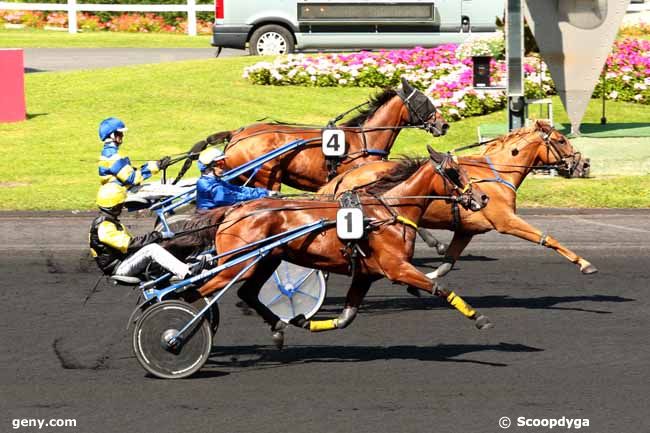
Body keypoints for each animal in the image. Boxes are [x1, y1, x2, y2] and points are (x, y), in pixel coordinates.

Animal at [192, 147, 486, 346]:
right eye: (454, 172)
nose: (482, 197)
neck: (387, 212)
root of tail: (232, 212)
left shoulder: (366, 274)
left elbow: (347, 316)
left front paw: (303, 321)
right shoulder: (397, 268)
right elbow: (439, 288)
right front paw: (478, 317)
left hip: (265, 260)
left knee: (247, 293)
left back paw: (277, 327)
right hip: (237, 264)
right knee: (195, 292)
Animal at [316, 120, 596, 278]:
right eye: (561, 140)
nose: (584, 164)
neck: (495, 173)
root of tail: (345, 177)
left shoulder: (466, 230)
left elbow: (446, 264)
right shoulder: (506, 220)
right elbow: (548, 238)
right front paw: (584, 263)